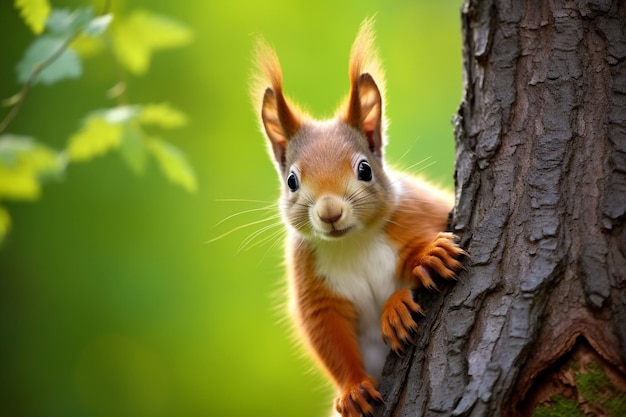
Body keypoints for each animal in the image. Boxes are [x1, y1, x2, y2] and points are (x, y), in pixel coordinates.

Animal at [252, 17, 464, 416]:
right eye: (291, 181)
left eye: (365, 169)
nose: (330, 212)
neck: (353, 243)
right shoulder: (314, 285)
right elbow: (328, 336)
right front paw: (353, 390)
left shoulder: (420, 212)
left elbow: (425, 245)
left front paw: (425, 262)